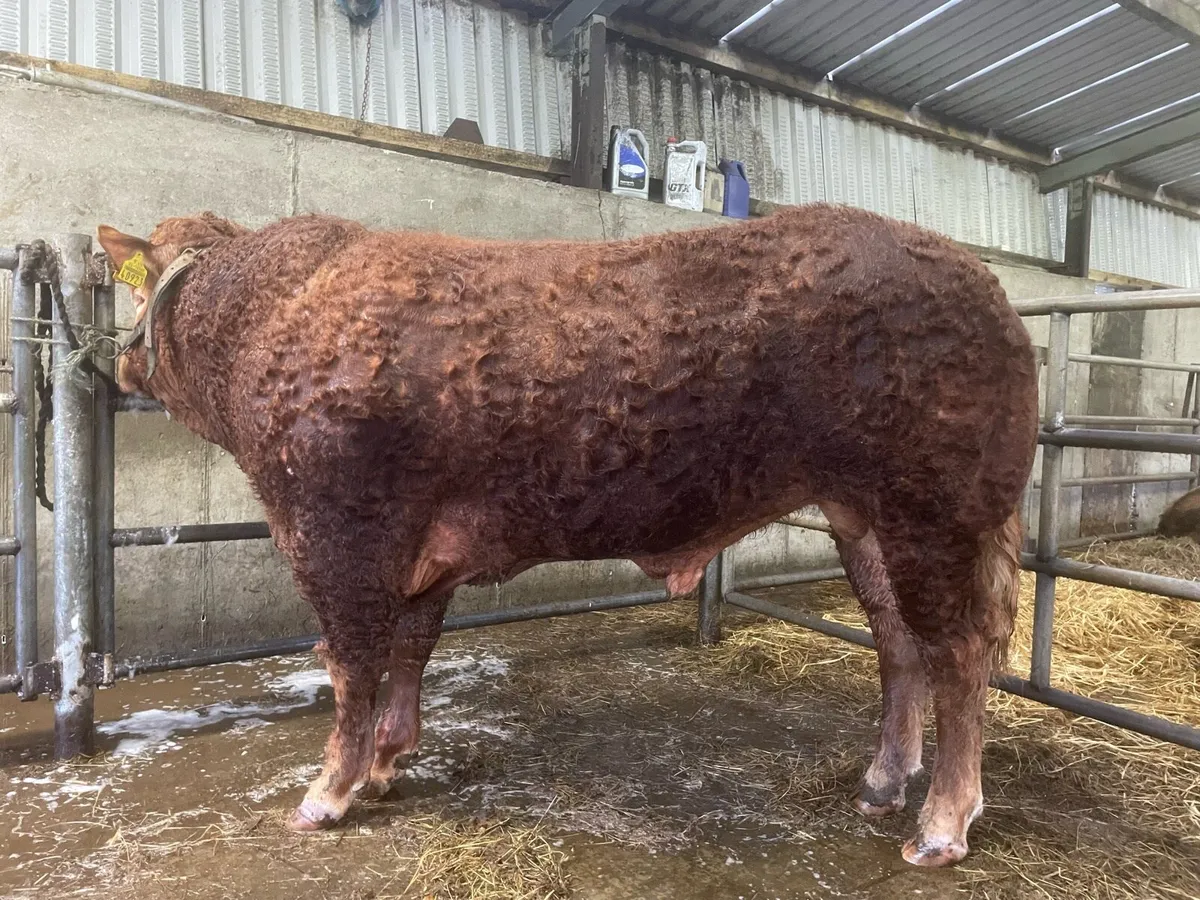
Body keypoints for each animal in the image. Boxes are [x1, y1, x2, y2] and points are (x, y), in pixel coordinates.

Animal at [96, 202, 1039, 868]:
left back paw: (941, 825)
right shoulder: (423, 552)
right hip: (864, 519)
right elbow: (411, 649)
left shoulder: (333, 531)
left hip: (936, 512)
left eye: (134, 288)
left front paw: (327, 792)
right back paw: (882, 783)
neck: (267, 319)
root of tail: (984, 284)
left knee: (959, 652)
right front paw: (387, 762)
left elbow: (352, 663)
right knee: (898, 643)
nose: (118, 362)